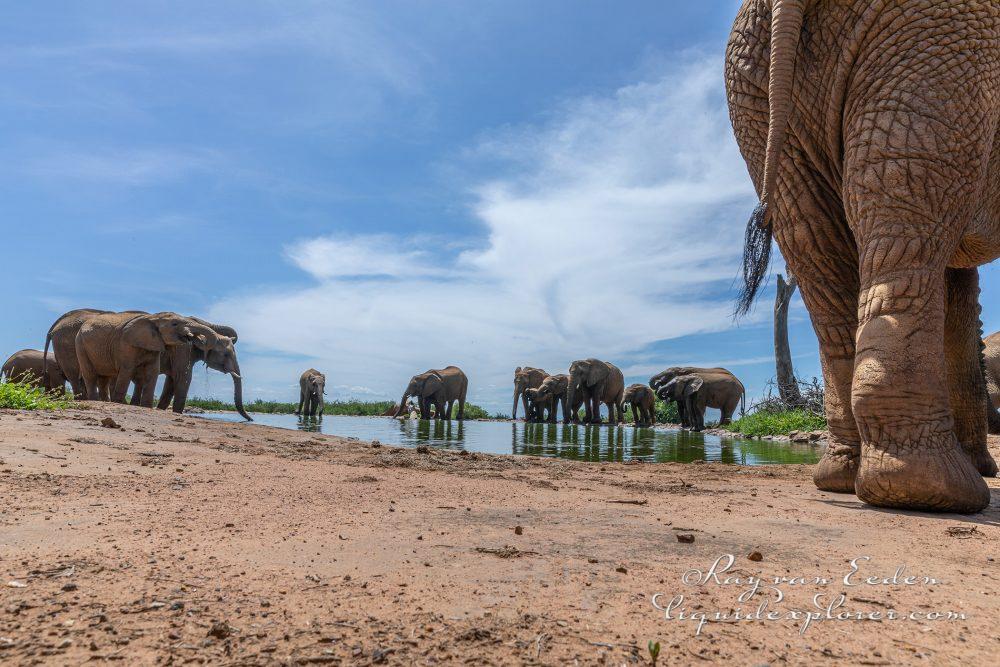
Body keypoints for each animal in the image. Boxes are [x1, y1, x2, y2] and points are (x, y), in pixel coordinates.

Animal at [76, 314, 219, 408]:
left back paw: (104, 401)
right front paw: (118, 402)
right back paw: (94, 400)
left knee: (104, 377)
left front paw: (146, 406)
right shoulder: (126, 344)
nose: (199, 341)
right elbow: (127, 369)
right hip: (80, 344)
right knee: (90, 374)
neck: (153, 318)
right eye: (174, 324)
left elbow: (153, 371)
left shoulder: (154, 344)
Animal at [728, 0, 1000, 512]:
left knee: (817, 237)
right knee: (906, 191)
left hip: (753, 92)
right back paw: (931, 491)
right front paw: (985, 471)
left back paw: (849, 480)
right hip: (942, 36)